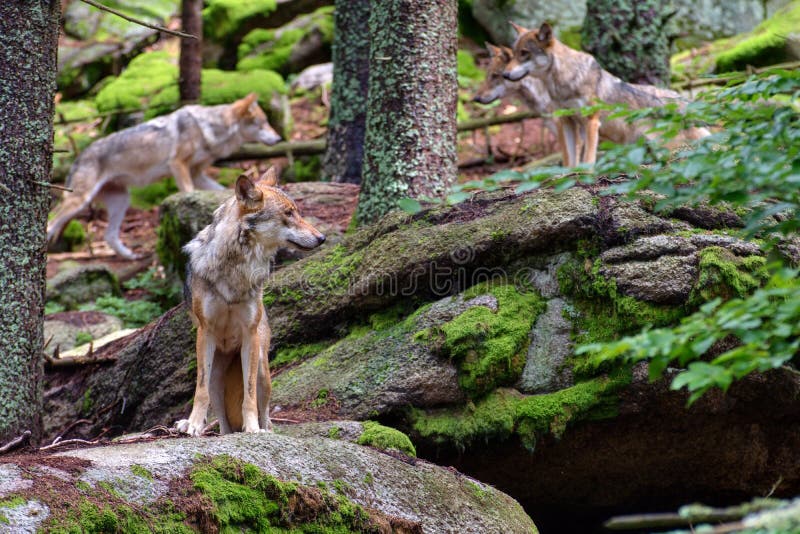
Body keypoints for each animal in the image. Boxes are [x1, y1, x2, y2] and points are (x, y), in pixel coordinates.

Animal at [47, 92, 282, 260]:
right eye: (263, 123)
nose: (279, 139)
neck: (211, 129)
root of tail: (79, 156)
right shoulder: (178, 165)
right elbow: (188, 191)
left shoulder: (198, 174)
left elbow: (222, 191)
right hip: (80, 201)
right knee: (51, 223)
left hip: (122, 201)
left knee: (109, 235)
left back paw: (130, 256)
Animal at [175, 170, 324, 438]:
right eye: (288, 213)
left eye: (297, 211)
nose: (322, 238)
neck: (237, 268)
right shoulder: (205, 332)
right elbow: (200, 391)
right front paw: (192, 424)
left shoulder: (250, 335)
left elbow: (249, 394)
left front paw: (252, 428)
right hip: (217, 378)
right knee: (222, 421)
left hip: (263, 368)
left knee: (266, 412)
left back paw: (264, 429)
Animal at [504, 23, 708, 166]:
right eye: (513, 53)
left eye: (524, 53)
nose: (505, 74)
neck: (563, 82)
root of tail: (688, 104)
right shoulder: (567, 121)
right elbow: (570, 161)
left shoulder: (591, 122)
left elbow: (588, 159)